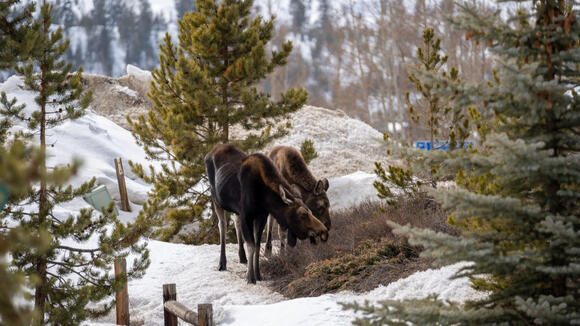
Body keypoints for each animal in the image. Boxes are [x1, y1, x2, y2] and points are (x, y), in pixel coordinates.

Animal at [206, 144, 328, 284]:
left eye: (310, 210)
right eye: (302, 214)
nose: (324, 230)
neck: (263, 196)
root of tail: (211, 151)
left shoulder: (261, 216)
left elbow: (258, 245)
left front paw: (258, 275)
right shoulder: (246, 216)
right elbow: (251, 245)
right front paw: (250, 277)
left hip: (234, 210)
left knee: (234, 222)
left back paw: (242, 257)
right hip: (216, 199)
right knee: (222, 225)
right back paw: (222, 263)